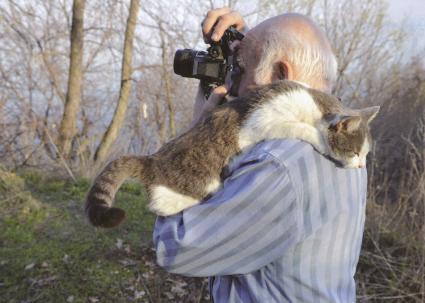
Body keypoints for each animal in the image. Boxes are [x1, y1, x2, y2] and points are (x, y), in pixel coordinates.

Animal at [85, 81, 378, 228]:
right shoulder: (263, 121)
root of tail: (151, 160)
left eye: (365, 154)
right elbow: (302, 129)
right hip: (192, 188)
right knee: (162, 205)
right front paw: (318, 137)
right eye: (355, 152)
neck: (313, 105)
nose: (360, 166)